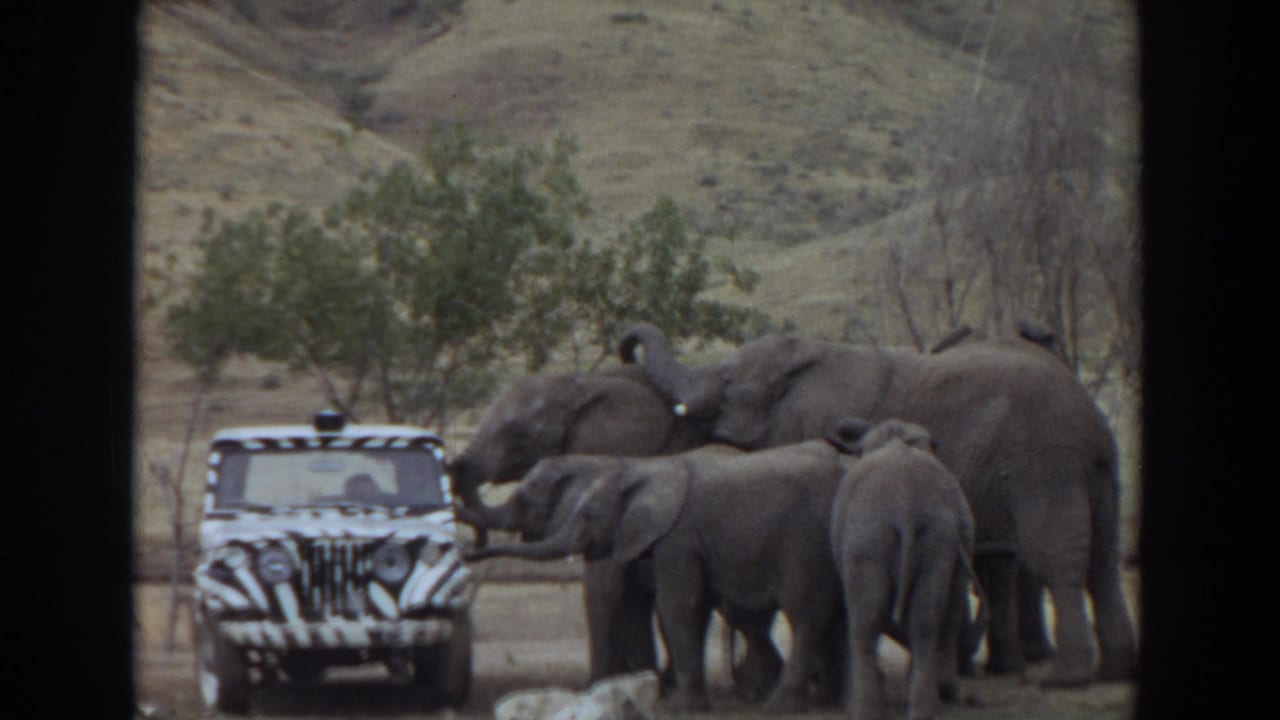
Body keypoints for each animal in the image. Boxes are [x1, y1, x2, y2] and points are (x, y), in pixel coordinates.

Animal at [463, 441, 860, 713]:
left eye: (588, 515)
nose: (466, 554)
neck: (639, 469)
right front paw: (647, 689)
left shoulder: (677, 538)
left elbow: (677, 606)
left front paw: (678, 705)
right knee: (827, 616)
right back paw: (823, 700)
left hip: (804, 543)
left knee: (804, 616)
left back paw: (780, 704)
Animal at [619, 322, 1138, 687]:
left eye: (727, 380)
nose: (626, 349)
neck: (810, 358)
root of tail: (1088, 413)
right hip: (1100, 471)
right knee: (1104, 562)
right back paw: (1114, 669)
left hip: (1044, 466)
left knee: (1058, 560)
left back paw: (1064, 679)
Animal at [827, 418, 982, 720]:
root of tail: (905, 507)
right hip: (935, 535)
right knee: (926, 618)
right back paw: (924, 709)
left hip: (867, 533)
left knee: (865, 620)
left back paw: (865, 712)